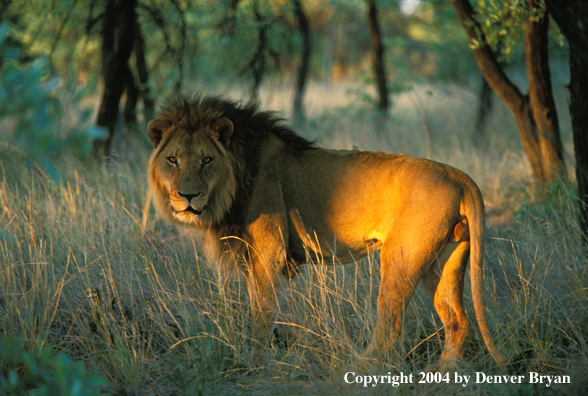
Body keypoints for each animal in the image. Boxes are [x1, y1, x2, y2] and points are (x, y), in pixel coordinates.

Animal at [147, 93, 506, 372]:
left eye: (207, 160)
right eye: (172, 160)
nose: (187, 196)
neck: (236, 178)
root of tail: (458, 175)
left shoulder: (269, 252)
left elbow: (261, 314)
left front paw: (255, 360)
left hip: (401, 259)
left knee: (390, 327)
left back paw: (361, 367)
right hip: (444, 261)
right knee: (458, 322)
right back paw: (442, 374)